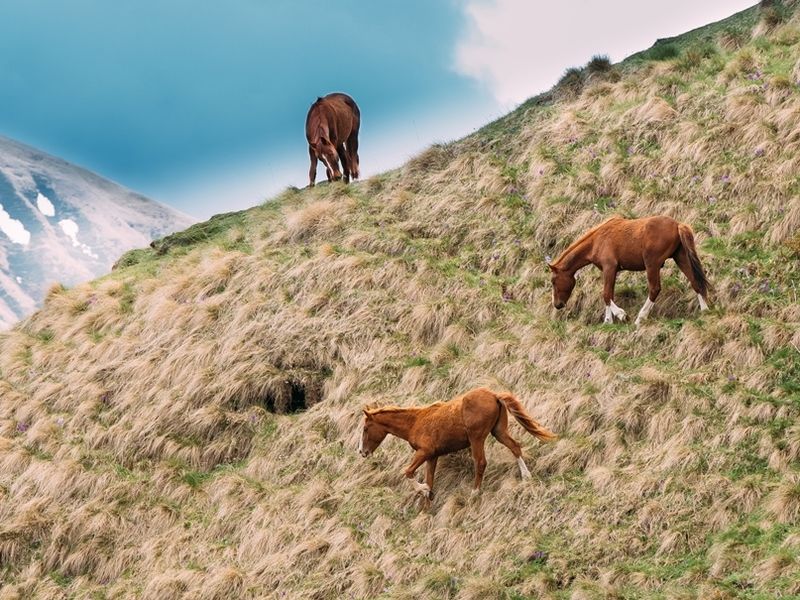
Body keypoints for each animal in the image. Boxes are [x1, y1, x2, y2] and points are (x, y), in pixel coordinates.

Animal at [358, 386, 556, 500]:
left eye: (366, 428)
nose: (362, 452)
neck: (415, 422)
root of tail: (493, 395)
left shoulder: (424, 452)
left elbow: (407, 472)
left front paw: (422, 489)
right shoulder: (432, 457)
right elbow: (430, 481)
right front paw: (426, 497)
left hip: (477, 438)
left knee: (481, 462)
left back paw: (475, 493)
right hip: (498, 432)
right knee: (515, 447)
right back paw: (526, 476)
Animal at [552, 216, 712, 326]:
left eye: (553, 281)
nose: (557, 305)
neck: (597, 239)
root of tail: (677, 225)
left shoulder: (609, 268)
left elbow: (605, 294)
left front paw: (620, 315)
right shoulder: (612, 271)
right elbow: (609, 294)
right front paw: (608, 321)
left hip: (652, 264)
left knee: (654, 289)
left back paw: (640, 318)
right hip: (681, 258)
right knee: (695, 282)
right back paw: (705, 310)